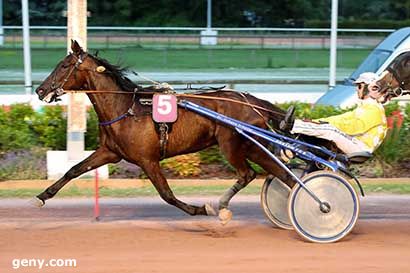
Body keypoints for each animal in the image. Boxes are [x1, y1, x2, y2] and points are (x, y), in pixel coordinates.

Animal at [32, 39, 294, 223]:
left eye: (64, 65)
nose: (40, 90)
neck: (126, 109)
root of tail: (253, 101)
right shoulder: (109, 152)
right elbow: (74, 169)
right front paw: (42, 197)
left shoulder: (148, 160)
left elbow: (166, 194)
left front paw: (201, 208)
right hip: (252, 146)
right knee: (283, 174)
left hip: (231, 145)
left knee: (247, 174)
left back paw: (222, 207)